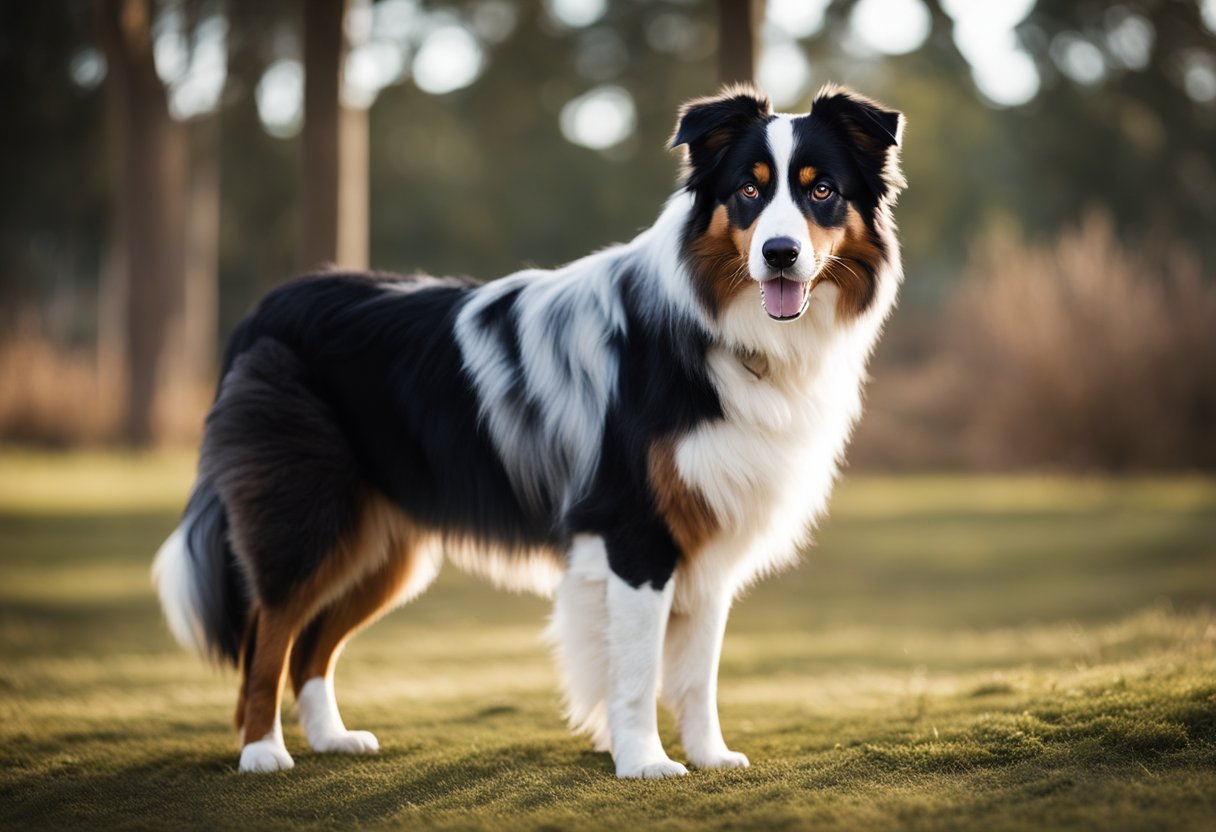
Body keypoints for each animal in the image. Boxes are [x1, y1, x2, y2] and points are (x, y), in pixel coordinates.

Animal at [152, 81, 904, 778]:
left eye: (822, 190)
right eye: (749, 190)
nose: (779, 253)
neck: (716, 327)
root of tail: (266, 307)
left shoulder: (709, 529)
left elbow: (697, 672)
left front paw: (709, 757)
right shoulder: (635, 533)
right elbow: (637, 671)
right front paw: (644, 762)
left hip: (381, 546)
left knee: (311, 642)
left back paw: (332, 738)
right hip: (308, 518)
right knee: (270, 630)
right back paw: (262, 751)